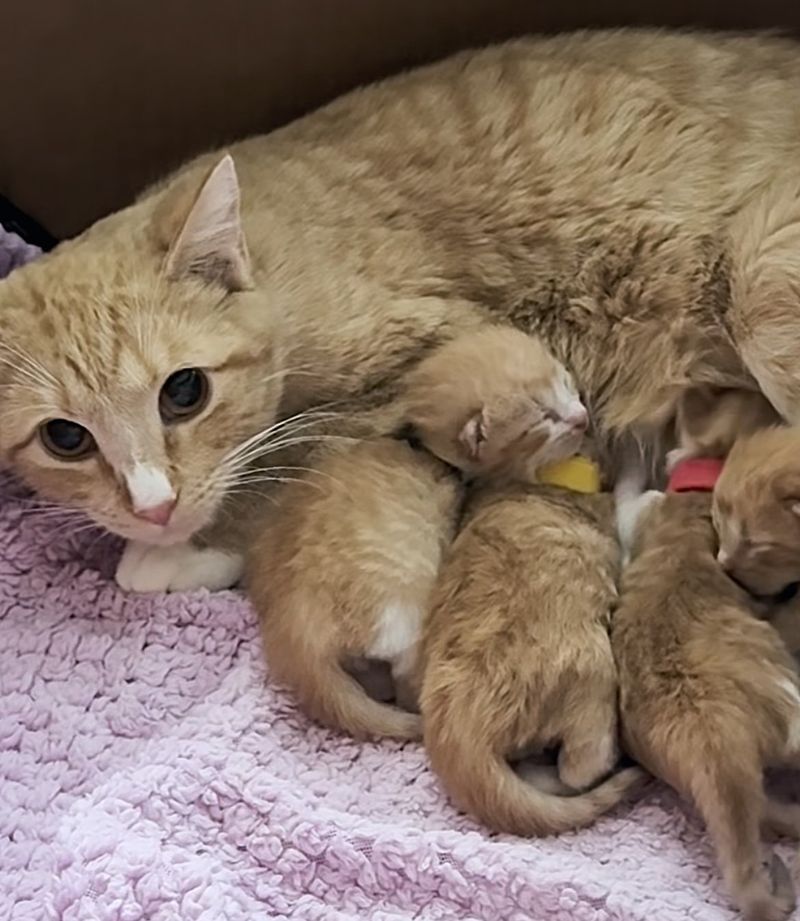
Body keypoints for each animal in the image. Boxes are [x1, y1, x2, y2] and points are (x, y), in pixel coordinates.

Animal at [1, 30, 800, 588]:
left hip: (763, 284)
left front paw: (187, 547)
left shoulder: (439, 350)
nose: (154, 509)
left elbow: (295, 449)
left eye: (184, 391)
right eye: (65, 438)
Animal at [250, 326, 588, 740]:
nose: (582, 418)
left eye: (565, 381)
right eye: (544, 420)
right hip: (401, 612)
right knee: (405, 680)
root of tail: (294, 633)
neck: (421, 445)